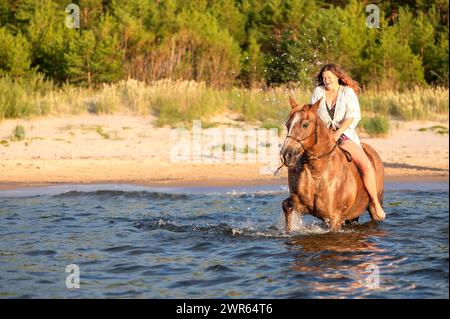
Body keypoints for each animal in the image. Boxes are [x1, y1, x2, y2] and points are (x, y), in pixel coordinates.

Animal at [282, 95, 384, 232]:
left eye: (305, 125)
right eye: (287, 125)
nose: (286, 155)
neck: (317, 171)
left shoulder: (335, 218)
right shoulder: (302, 204)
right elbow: (286, 205)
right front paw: (288, 230)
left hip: (373, 207)